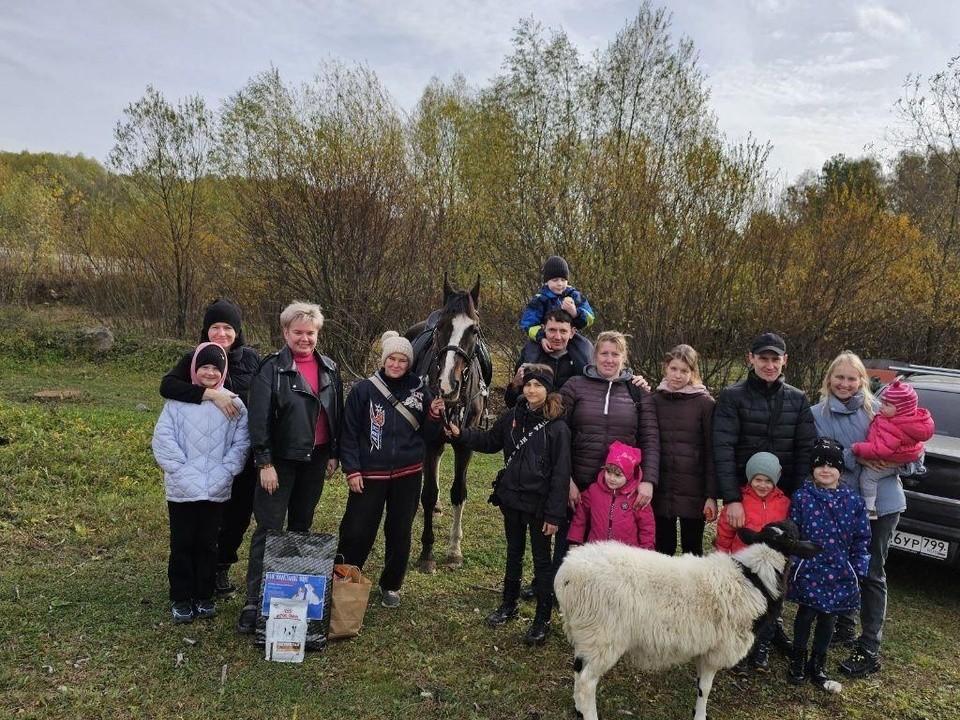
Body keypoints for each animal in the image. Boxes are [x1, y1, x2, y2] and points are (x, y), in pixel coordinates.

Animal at [406, 276, 492, 572]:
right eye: (442, 326)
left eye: (474, 329)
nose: (447, 385)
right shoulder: (431, 442)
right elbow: (429, 492)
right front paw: (427, 553)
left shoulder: (465, 444)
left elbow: (459, 492)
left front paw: (454, 550)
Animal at [552, 520, 820, 716]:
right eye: (795, 533)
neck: (755, 578)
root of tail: (566, 575)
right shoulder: (715, 651)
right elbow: (705, 689)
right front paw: (700, 715)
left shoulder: (705, 649)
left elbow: (701, 685)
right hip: (603, 637)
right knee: (586, 683)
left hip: (586, 635)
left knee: (578, 673)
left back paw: (577, 708)